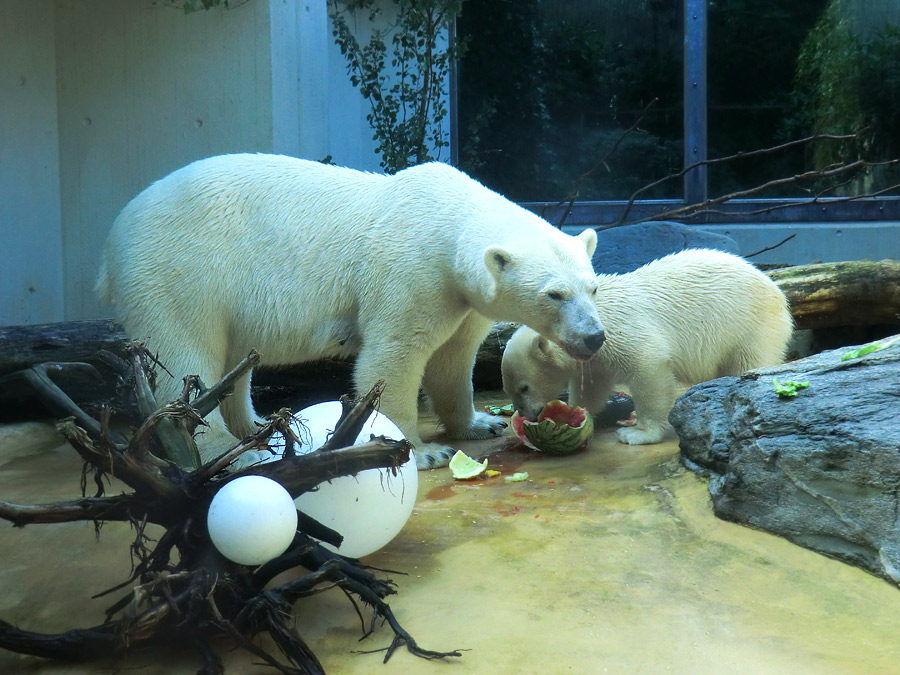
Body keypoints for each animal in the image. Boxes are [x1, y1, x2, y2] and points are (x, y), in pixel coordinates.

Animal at [96, 153, 604, 470]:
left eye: (592, 287)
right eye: (555, 295)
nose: (593, 337)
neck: (447, 220)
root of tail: (114, 235)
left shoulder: (460, 295)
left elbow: (452, 359)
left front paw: (480, 422)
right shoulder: (410, 269)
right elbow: (394, 356)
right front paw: (422, 451)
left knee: (233, 361)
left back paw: (256, 428)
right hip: (181, 269)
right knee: (186, 354)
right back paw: (230, 448)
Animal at [502, 251, 792, 446]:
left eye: (524, 387)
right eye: (510, 389)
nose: (527, 414)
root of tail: (777, 291)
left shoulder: (623, 331)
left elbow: (649, 370)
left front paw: (637, 433)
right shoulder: (597, 357)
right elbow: (593, 386)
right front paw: (577, 412)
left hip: (750, 324)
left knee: (748, 360)